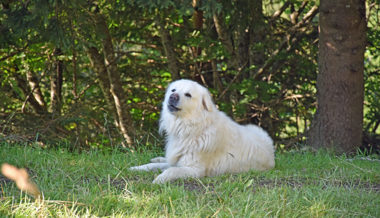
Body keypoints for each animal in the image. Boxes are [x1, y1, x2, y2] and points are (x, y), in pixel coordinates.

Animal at [130, 79, 274, 183]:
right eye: (173, 90)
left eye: (188, 94)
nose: (172, 96)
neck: (191, 126)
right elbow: (152, 166)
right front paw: (136, 168)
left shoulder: (194, 169)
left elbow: (171, 171)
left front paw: (159, 179)